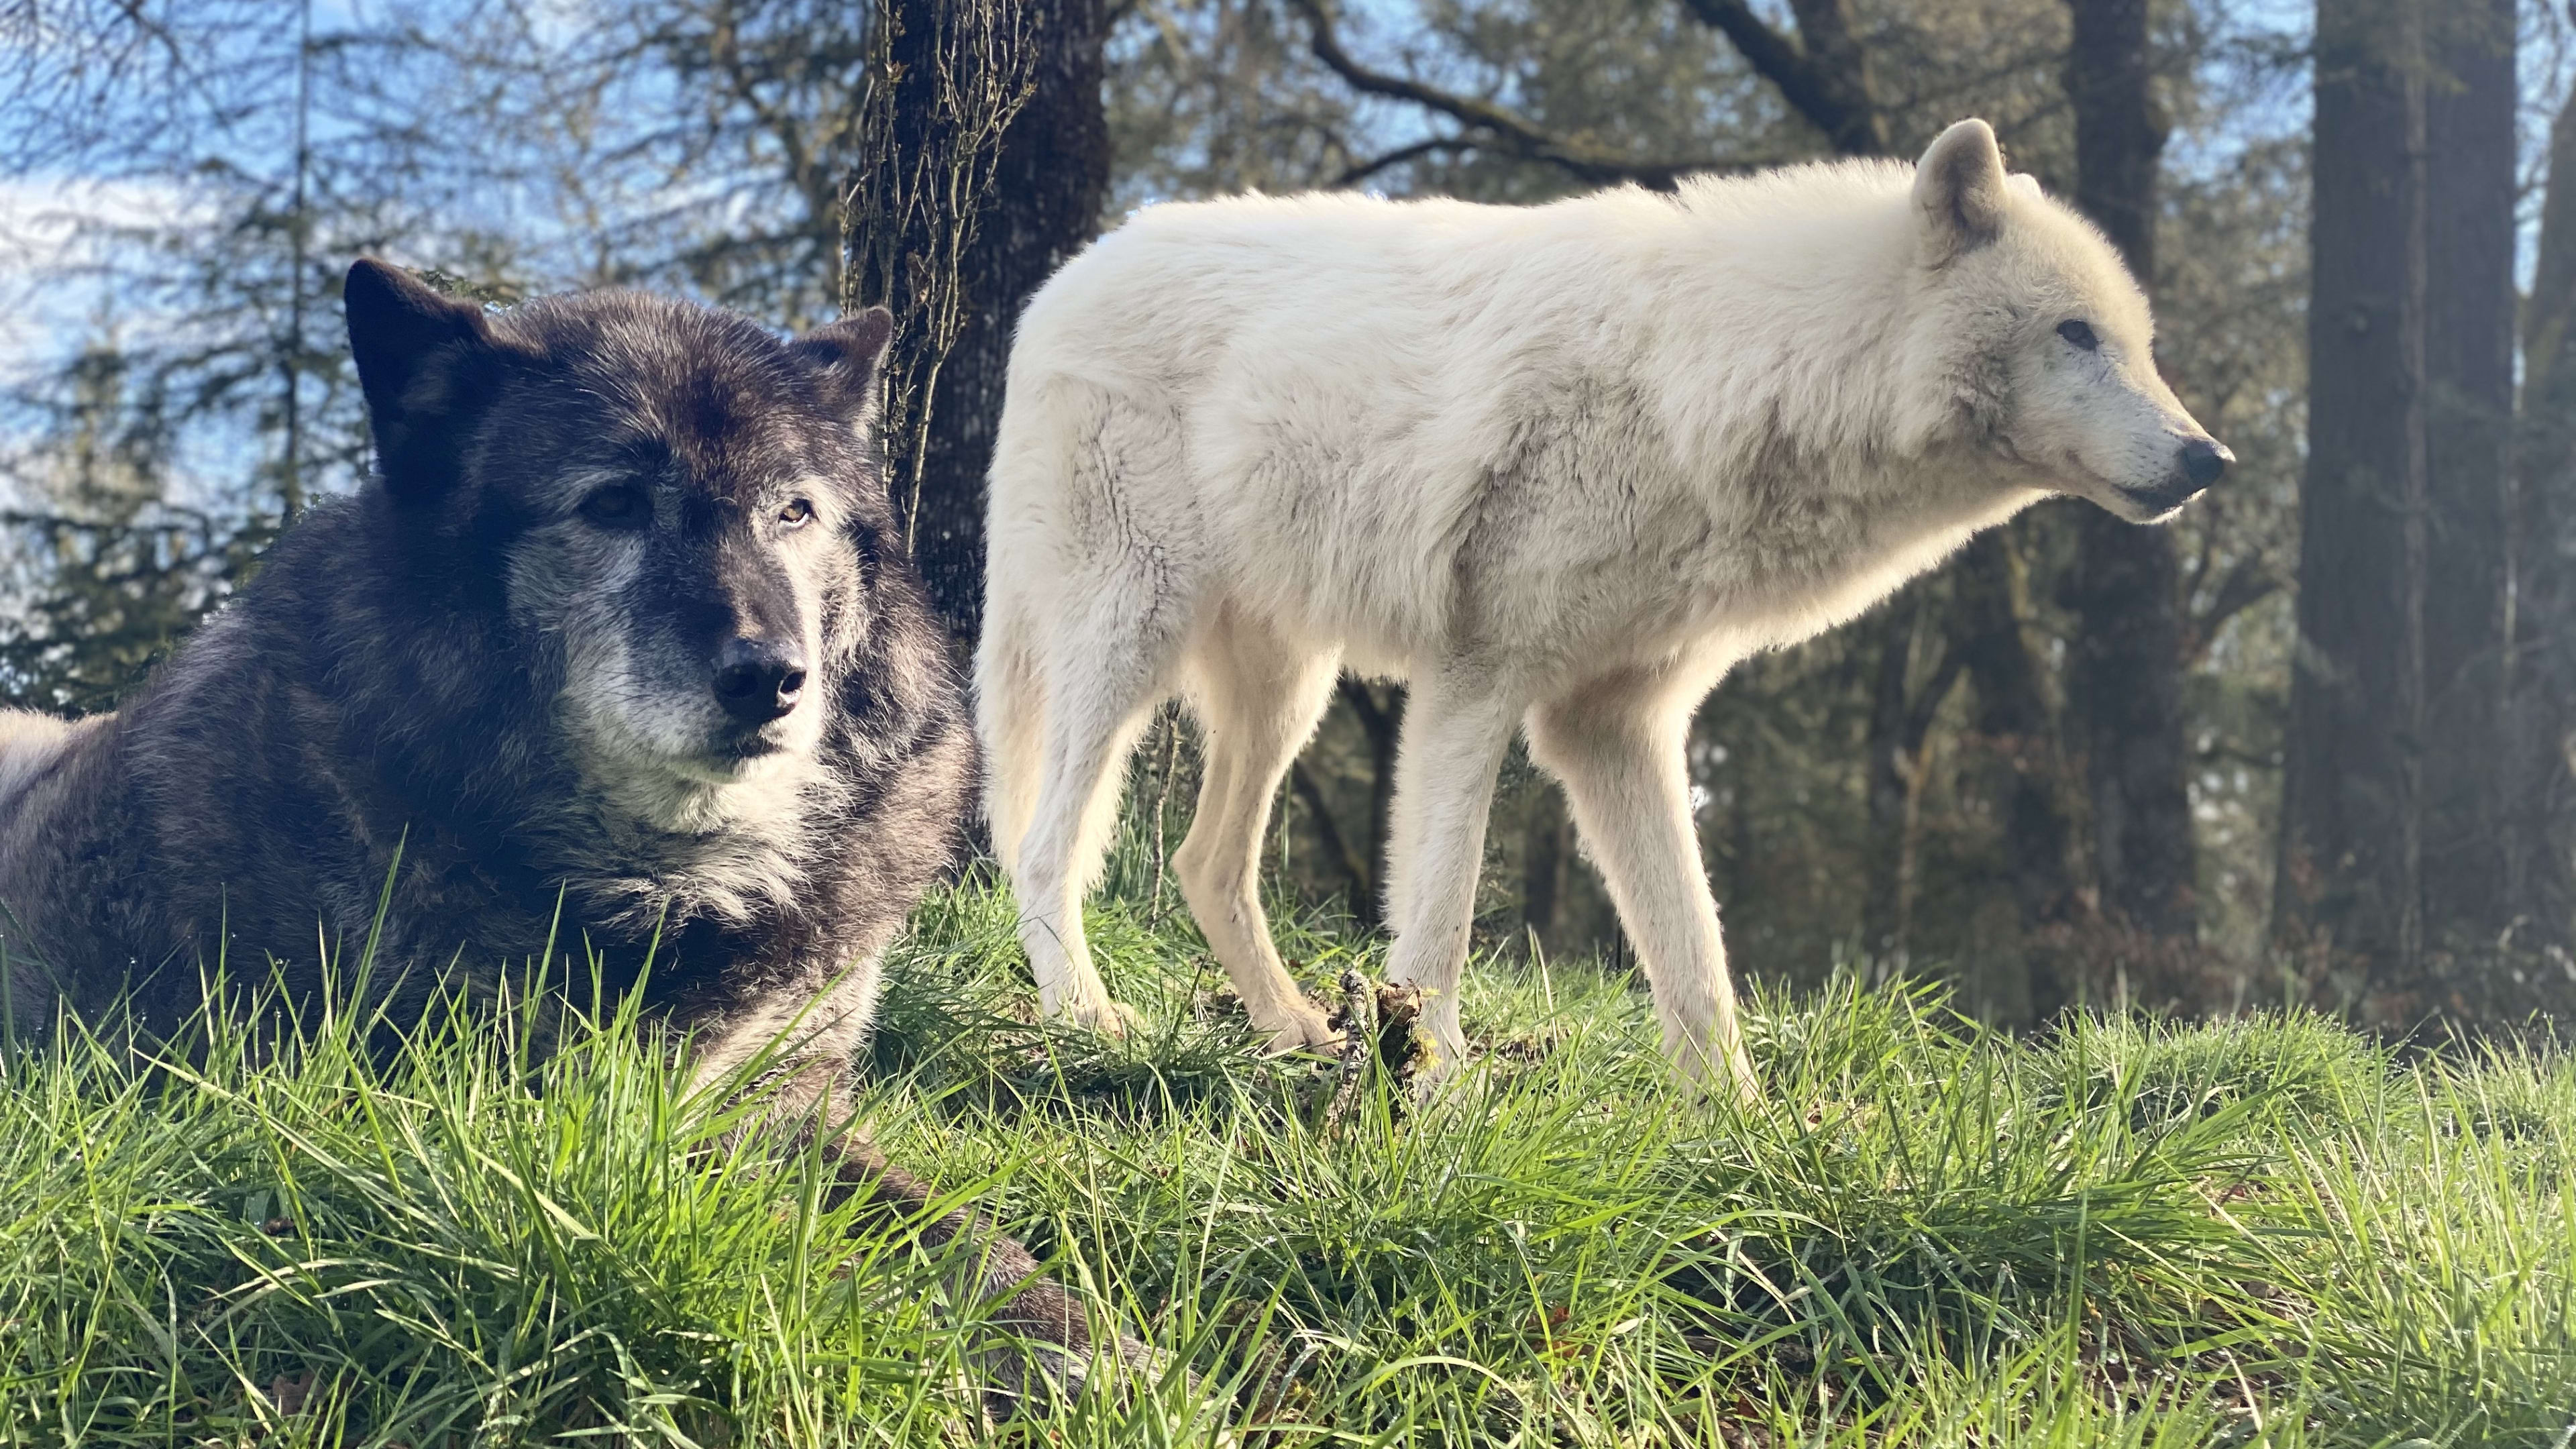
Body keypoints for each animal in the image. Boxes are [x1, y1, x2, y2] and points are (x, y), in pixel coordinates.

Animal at [0, 259, 1131, 1391]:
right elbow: (793, 1245)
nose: (772, 677)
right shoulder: (523, 1117)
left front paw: (1077, 1336)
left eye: (795, 511)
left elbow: (954, 1226)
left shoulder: (781, 1105)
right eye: (615, 503)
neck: (675, 887)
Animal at [976, 119, 2229, 1100]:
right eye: (2076, 334)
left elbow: (1695, 954)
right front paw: (1431, 1093)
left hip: (1288, 695)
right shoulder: (1475, 683)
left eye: (2142, 345)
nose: (2210, 459)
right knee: (1039, 847)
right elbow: (1443, 915)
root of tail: (1057, 285)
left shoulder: (1613, 726)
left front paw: (1744, 1129)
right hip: (1130, 646)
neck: (1723, 376)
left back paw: (1291, 1028)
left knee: (1204, 863)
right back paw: (1089, 1020)